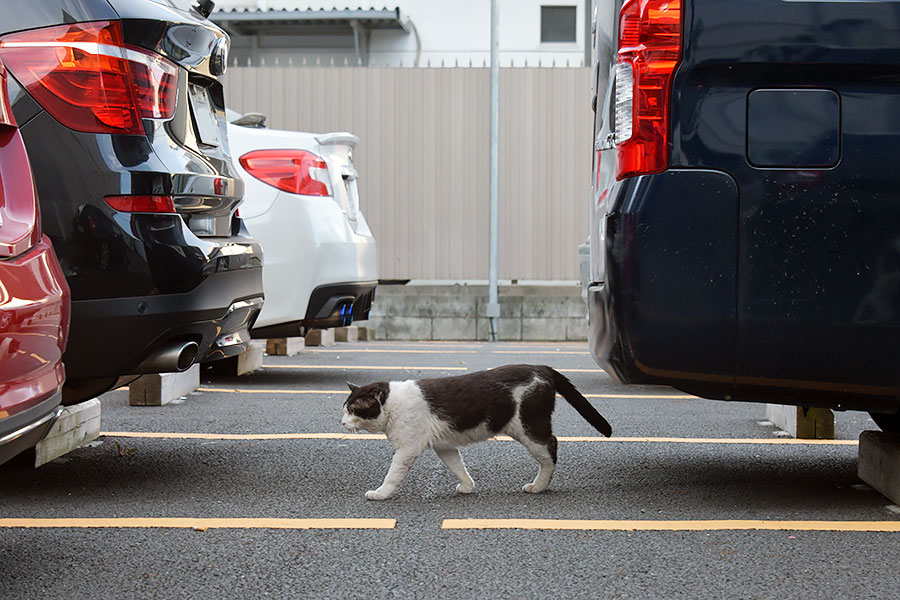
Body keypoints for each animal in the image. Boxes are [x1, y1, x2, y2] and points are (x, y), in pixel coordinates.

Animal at [340, 366, 612, 502]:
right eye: (345, 408)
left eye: (352, 410)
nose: (340, 422)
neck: (393, 404)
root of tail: (542, 367)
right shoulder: (444, 446)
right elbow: (457, 466)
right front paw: (468, 486)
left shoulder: (407, 449)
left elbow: (392, 475)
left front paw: (380, 493)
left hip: (529, 427)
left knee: (551, 449)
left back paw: (538, 486)